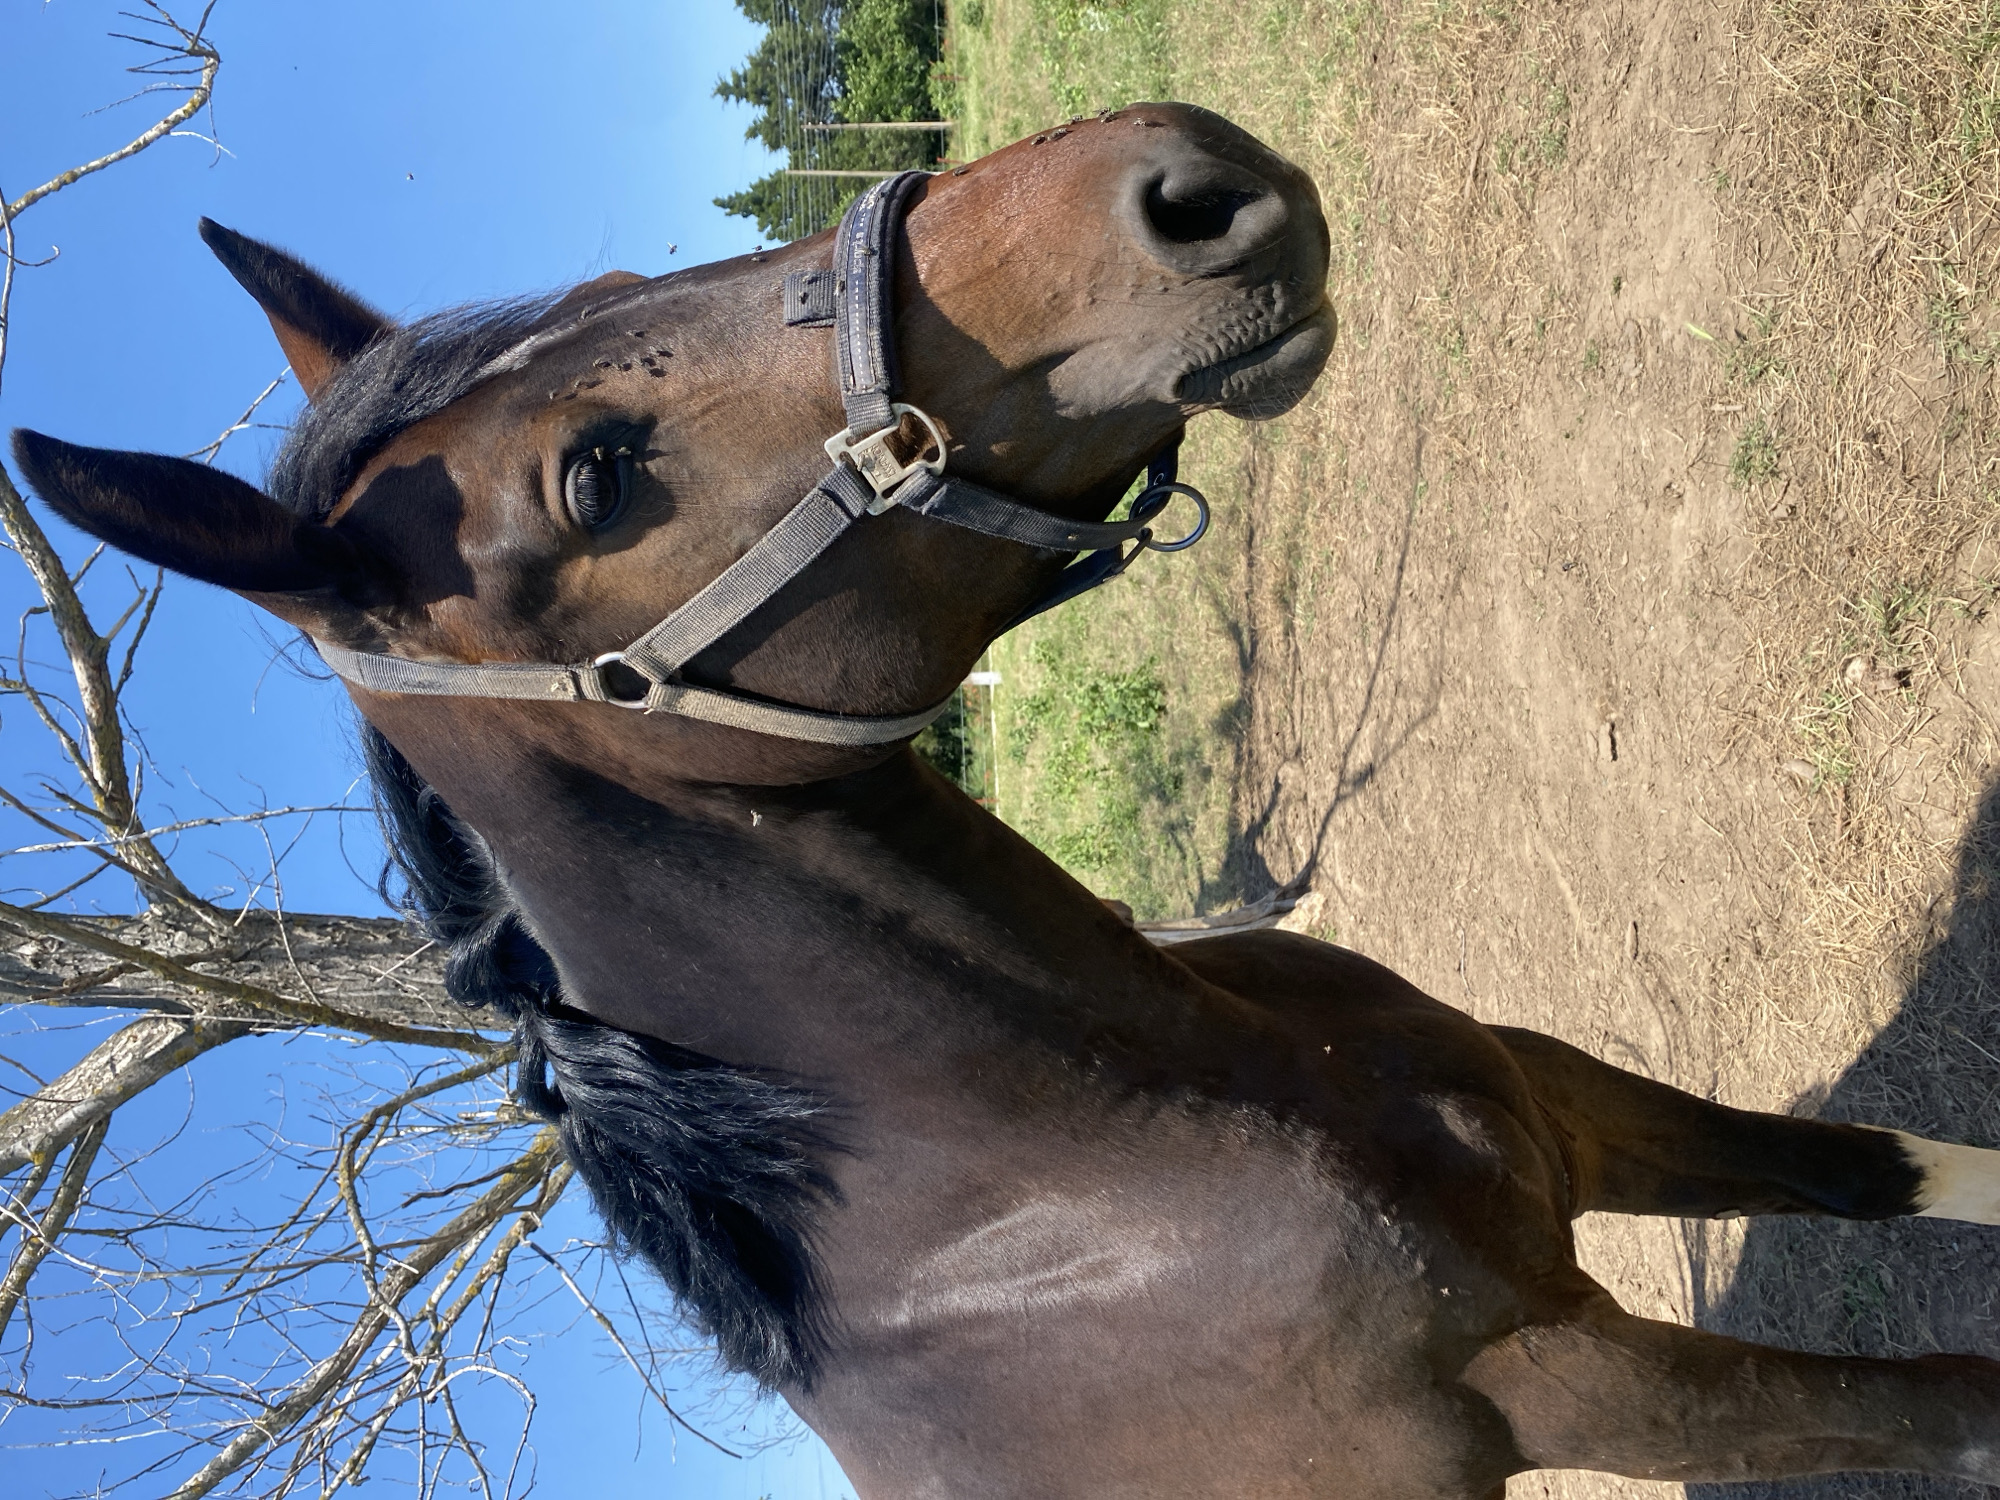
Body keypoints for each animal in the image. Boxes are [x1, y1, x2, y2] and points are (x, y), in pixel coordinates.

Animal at [14, 103, 2000, 1497]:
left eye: (609, 302)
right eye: (596, 476)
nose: (1189, 179)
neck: (1102, 1180)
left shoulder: (1552, 1094)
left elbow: (1877, 1168)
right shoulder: (1587, 1382)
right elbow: (1961, 1408)